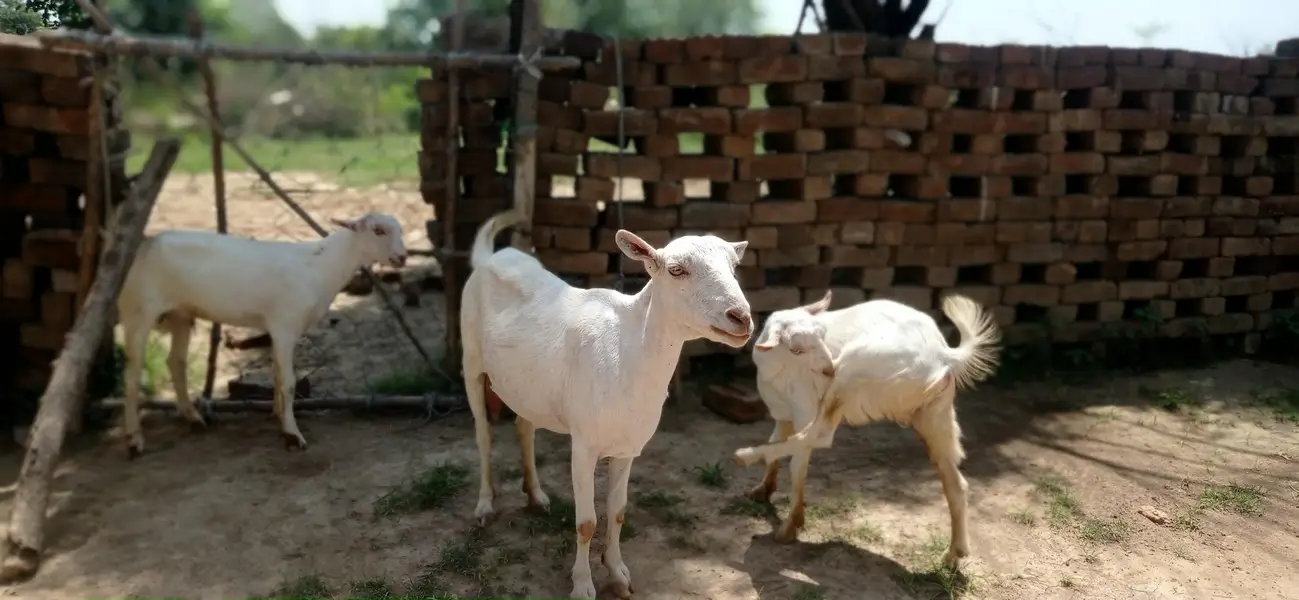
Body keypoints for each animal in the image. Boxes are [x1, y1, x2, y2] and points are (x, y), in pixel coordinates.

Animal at [116, 213, 407, 457]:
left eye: (400, 229)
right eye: (378, 230)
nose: (402, 257)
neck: (321, 265)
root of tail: (147, 244)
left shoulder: (280, 328)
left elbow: (278, 377)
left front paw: (278, 418)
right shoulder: (284, 325)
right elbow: (288, 382)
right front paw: (293, 435)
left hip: (180, 314)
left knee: (175, 362)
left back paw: (193, 418)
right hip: (139, 310)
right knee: (131, 375)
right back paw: (134, 440)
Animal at [461, 210, 752, 598]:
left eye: (734, 266)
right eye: (676, 270)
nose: (741, 318)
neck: (627, 351)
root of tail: (487, 257)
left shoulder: (628, 446)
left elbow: (617, 512)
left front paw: (617, 574)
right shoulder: (583, 445)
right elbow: (586, 521)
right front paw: (583, 585)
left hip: (526, 385)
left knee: (525, 426)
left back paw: (536, 496)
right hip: (471, 360)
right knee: (483, 435)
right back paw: (484, 506)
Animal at [732, 292, 1000, 568]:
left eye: (822, 334)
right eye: (797, 349)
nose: (829, 370)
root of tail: (944, 354)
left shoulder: (804, 408)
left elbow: (798, 463)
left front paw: (790, 527)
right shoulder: (782, 413)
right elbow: (776, 442)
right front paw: (762, 490)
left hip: (856, 369)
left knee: (822, 433)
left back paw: (745, 456)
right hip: (933, 414)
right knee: (955, 483)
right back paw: (954, 554)